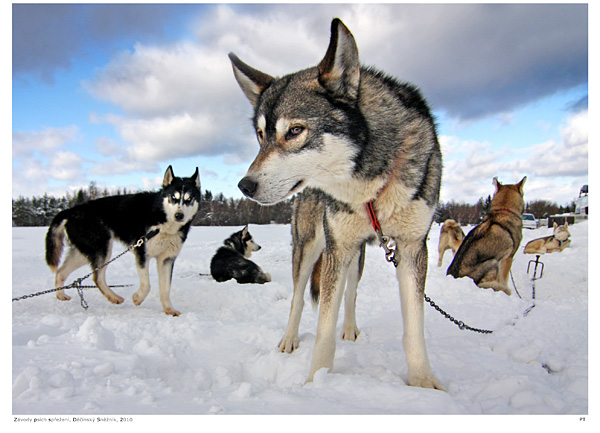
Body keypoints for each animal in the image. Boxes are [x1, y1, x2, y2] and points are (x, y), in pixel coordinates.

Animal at [232, 18, 442, 388]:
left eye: (295, 130)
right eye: (260, 135)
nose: (245, 185)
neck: (370, 188)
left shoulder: (411, 247)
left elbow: (414, 328)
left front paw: (422, 383)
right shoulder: (337, 246)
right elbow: (323, 330)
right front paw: (316, 383)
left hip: (352, 256)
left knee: (349, 292)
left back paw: (350, 327)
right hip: (312, 247)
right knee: (299, 297)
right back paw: (289, 339)